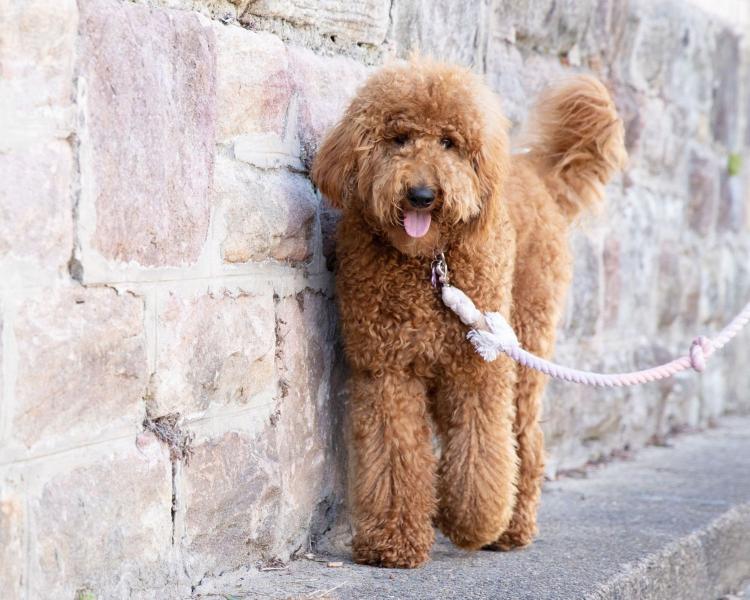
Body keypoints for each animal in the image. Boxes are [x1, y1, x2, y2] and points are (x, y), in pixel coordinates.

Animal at [312, 58, 628, 568]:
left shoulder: (478, 367)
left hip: (525, 339)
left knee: (524, 442)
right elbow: (396, 454)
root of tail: (535, 172)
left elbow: (481, 451)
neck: (427, 264)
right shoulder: (387, 371)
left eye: (449, 143)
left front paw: (473, 522)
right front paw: (393, 540)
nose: (422, 194)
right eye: (399, 138)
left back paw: (511, 528)